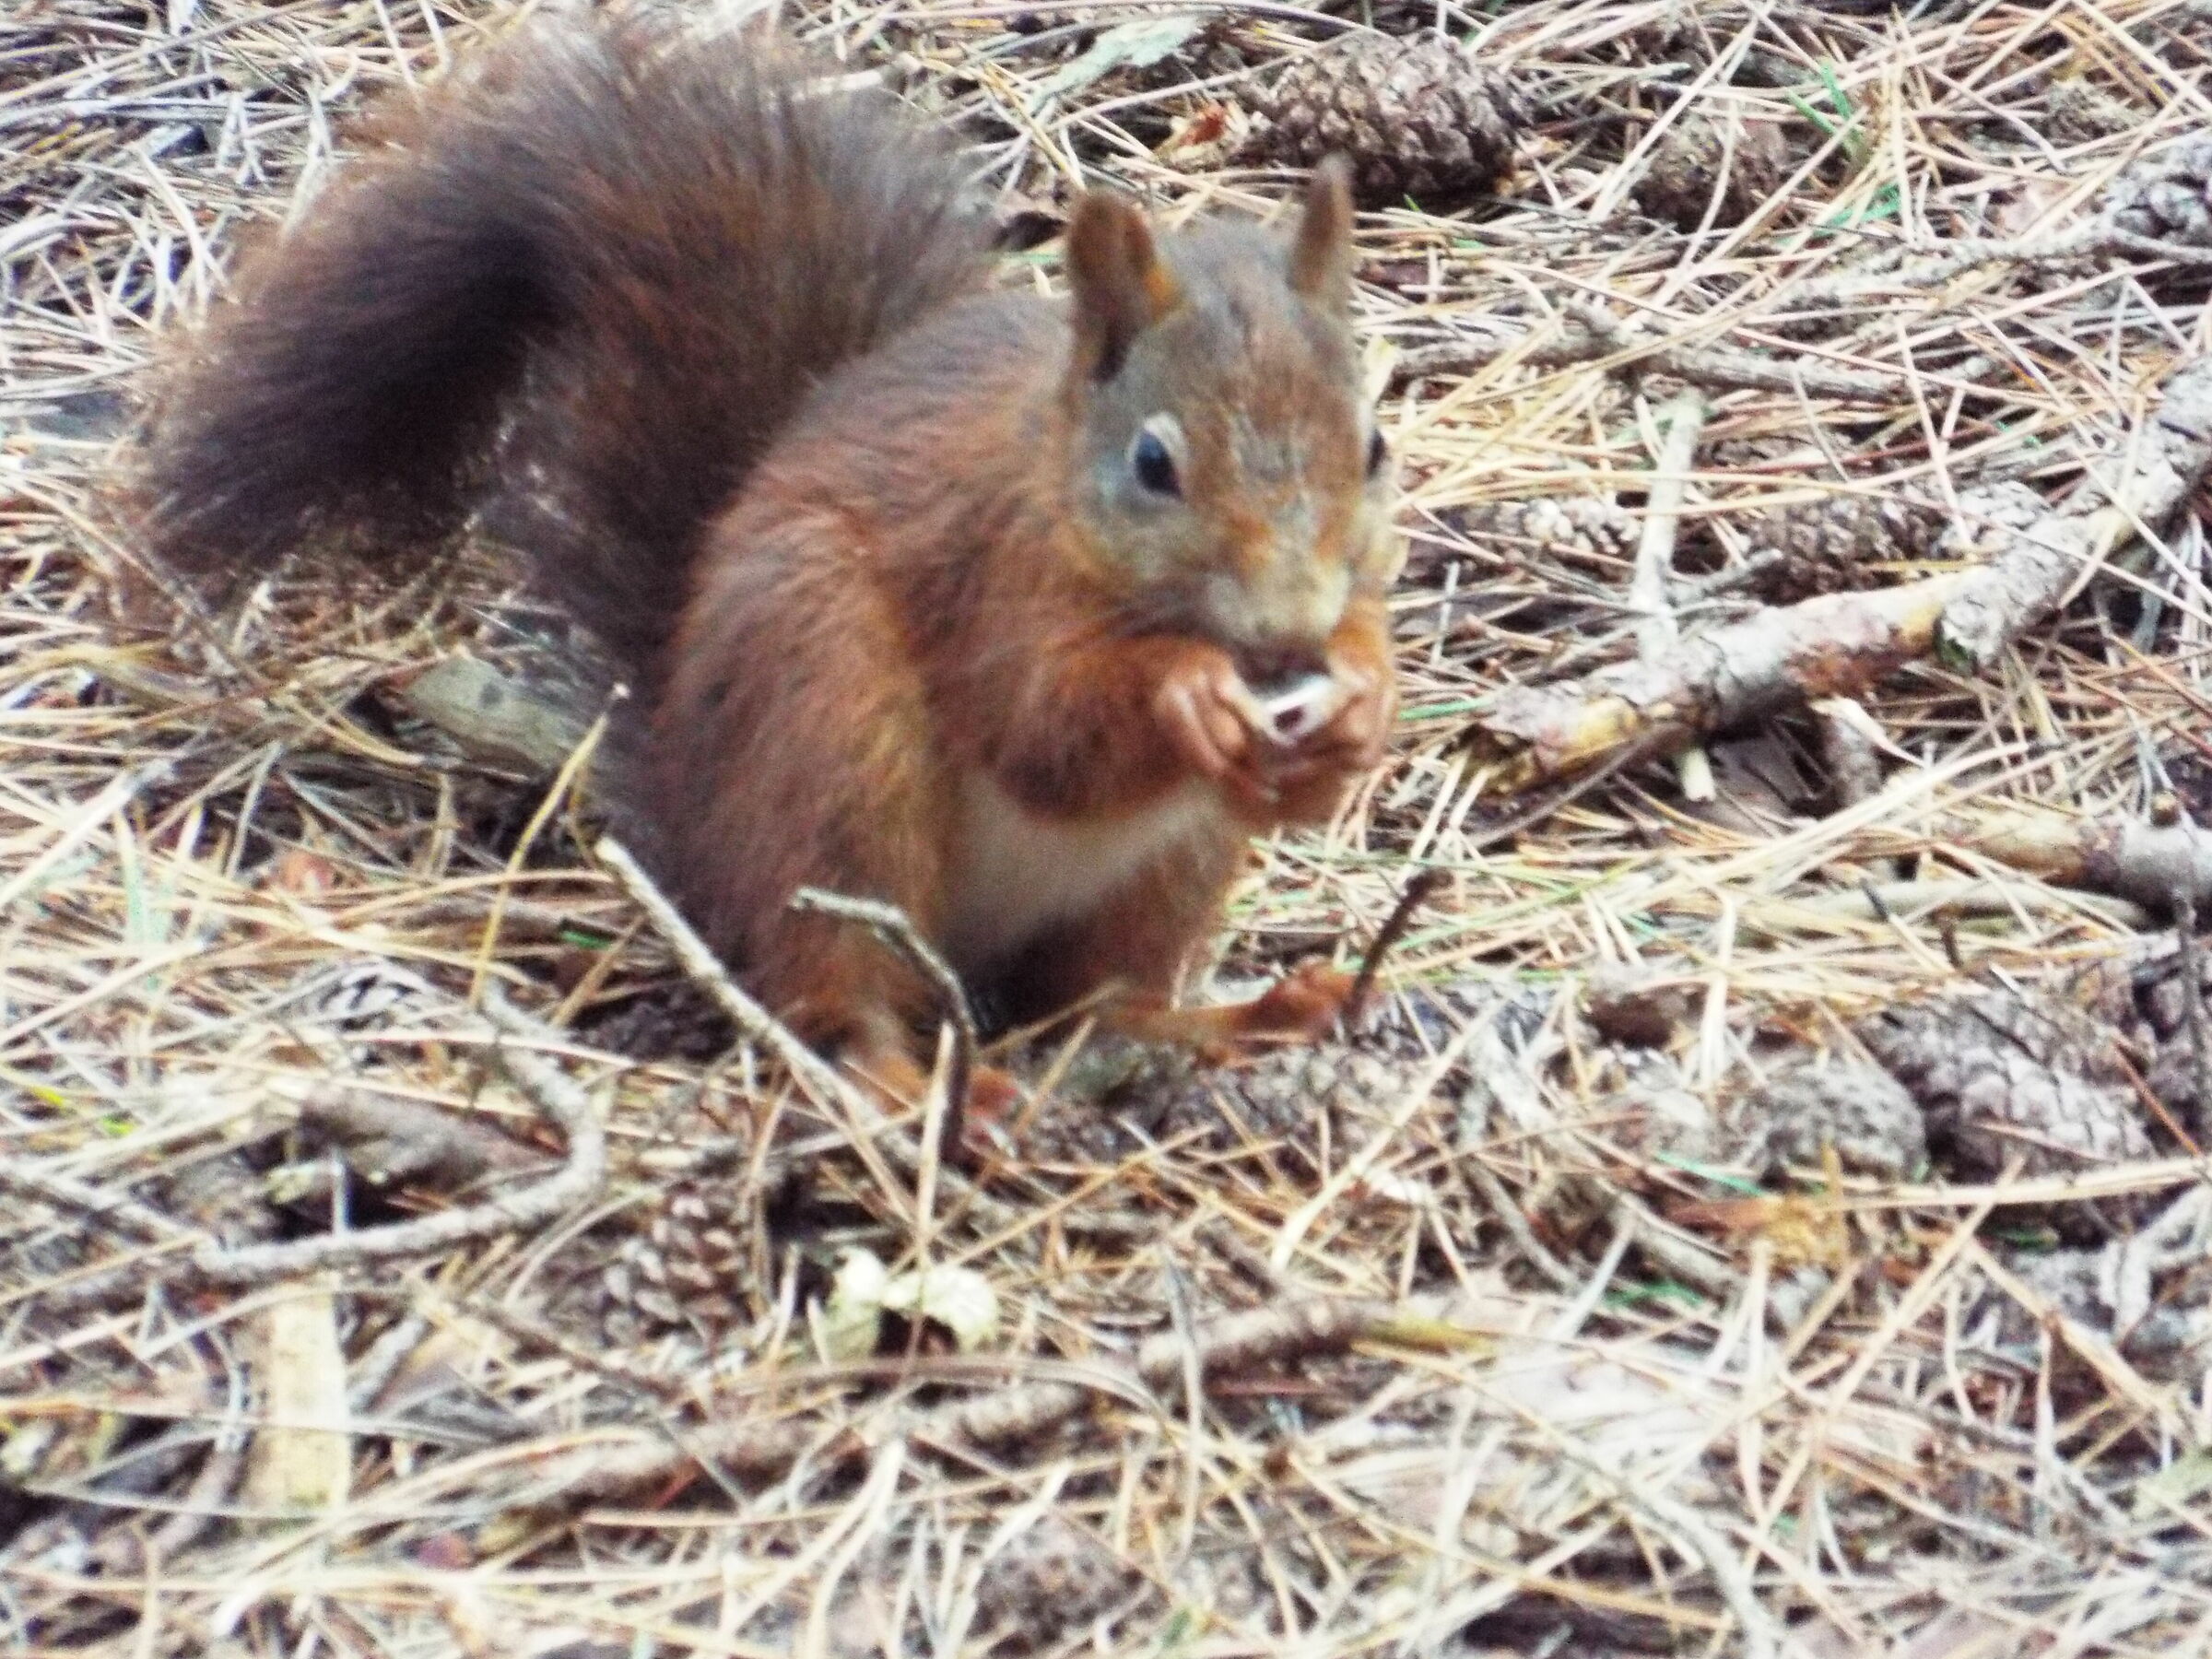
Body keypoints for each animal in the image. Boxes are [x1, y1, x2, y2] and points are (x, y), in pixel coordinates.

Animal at [130, 12, 1403, 1112]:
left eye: (1376, 446)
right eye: (1152, 465)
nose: (1288, 631)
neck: (1058, 487)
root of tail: (695, 816)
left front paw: (1359, 712)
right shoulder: (991, 570)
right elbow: (1043, 727)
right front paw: (1185, 695)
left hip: (1162, 871)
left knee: (1094, 1005)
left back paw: (1241, 1019)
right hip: (825, 739)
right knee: (831, 989)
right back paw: (911, 1090)